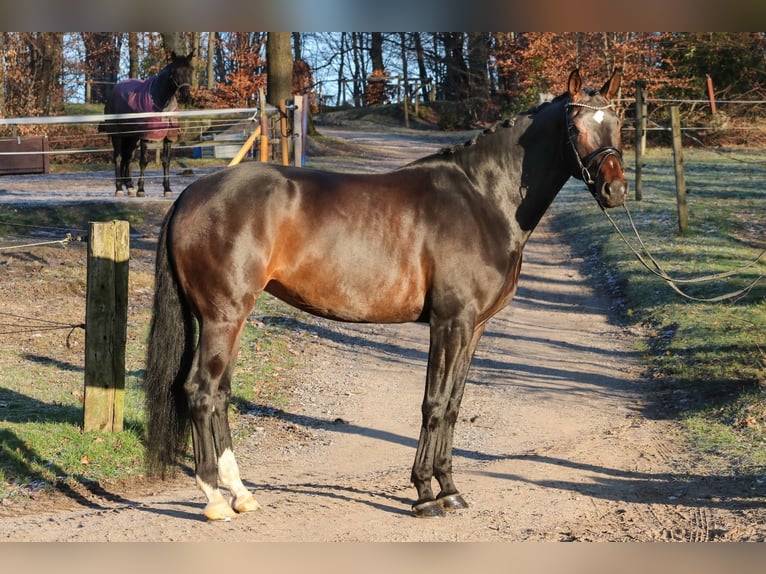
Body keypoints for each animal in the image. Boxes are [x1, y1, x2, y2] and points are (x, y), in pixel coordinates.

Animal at [99, 50, 194, 198]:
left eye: (190, 70)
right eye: (175, 70)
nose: (186, 94)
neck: (161, 102)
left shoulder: (168, 137)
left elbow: (166, 161)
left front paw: (167, 189)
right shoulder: (145, 137)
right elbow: (143, 161)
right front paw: (141, 189)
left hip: (132, 138)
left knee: (127, 158)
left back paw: (130, 186)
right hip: (118, 135)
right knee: (118, 158)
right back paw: (119, 188)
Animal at [144, 66, 632, 520]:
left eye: (618, 123)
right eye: (576, 127)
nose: (615, 190)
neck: (482, 199)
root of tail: (191, 194)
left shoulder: (473, 328)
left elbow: (453, 405)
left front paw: (450, 489)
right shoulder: (449, 322)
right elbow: (433, 403)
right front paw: (424, 494)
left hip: (230, 319)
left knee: (220, 394)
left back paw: (241, 493)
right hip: (222, 317)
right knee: (201, 392)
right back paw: (215, 499)